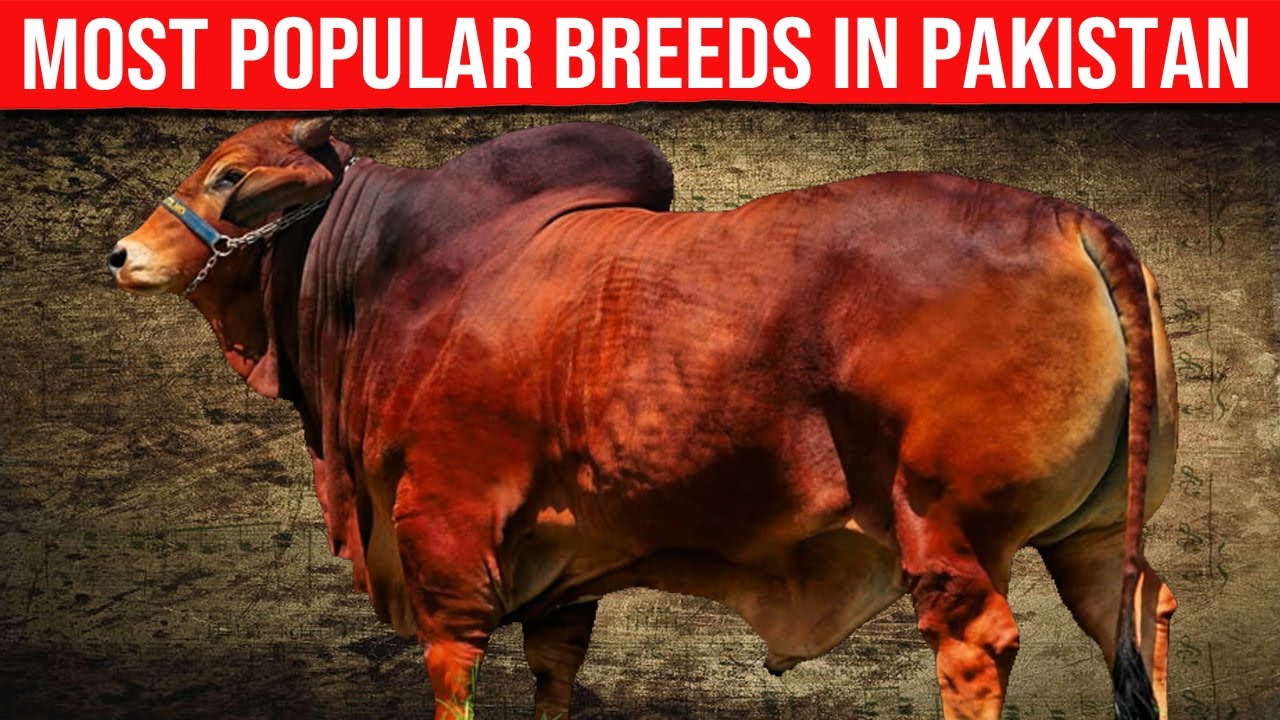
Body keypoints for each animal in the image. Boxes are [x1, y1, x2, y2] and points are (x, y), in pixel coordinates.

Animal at [109, 117, 1178, 720]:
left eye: (231, 177)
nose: (122, 254)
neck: (384, 275)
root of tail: (1069, 217)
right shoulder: (559, 566)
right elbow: (552, 674)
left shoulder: (445, 524)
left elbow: (453, 668)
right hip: (1090, 533)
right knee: (1139, 609)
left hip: (945, 526)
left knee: (975, 648)